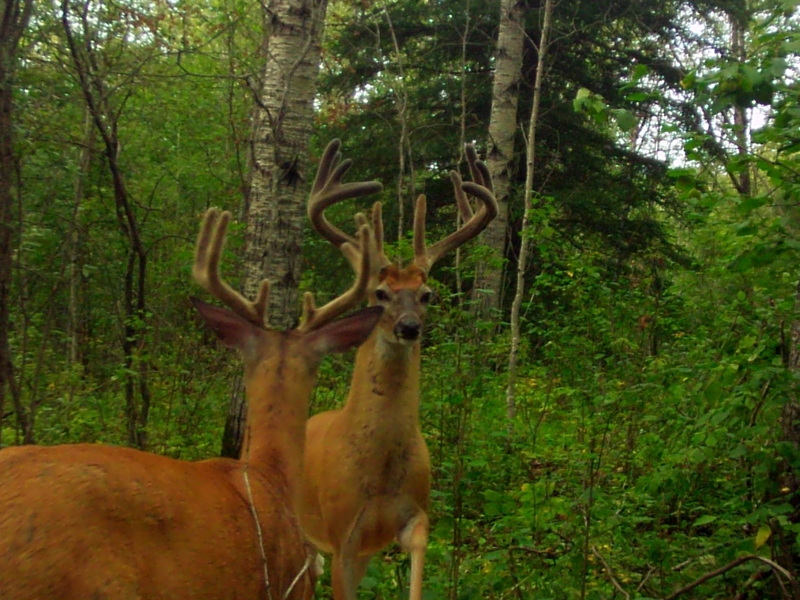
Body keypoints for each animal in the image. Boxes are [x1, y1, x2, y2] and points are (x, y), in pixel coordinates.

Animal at [296, 139, 496, 600]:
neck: (379, 469)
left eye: (427, 294)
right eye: (380, 293)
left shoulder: (412, 520)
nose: (409, 327)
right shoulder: (342, 535)